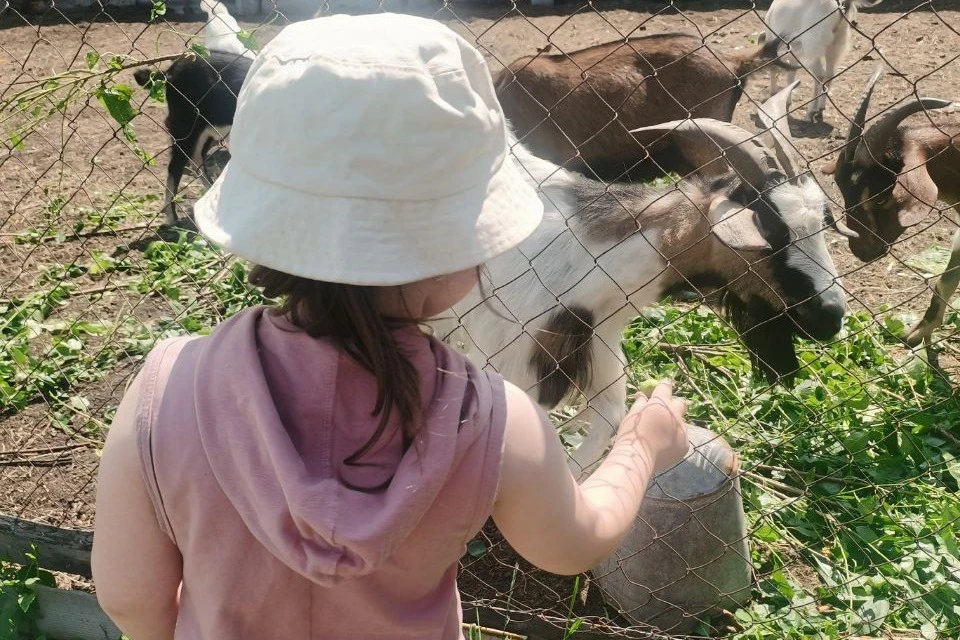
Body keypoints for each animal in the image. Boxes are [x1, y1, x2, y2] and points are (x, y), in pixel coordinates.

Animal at [434, 84, 848, 476]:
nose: (832, 315)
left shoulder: (598, 348)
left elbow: (609, 420)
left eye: (822, 223)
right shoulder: (510, 357)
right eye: (771, 232)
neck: (588, 256)